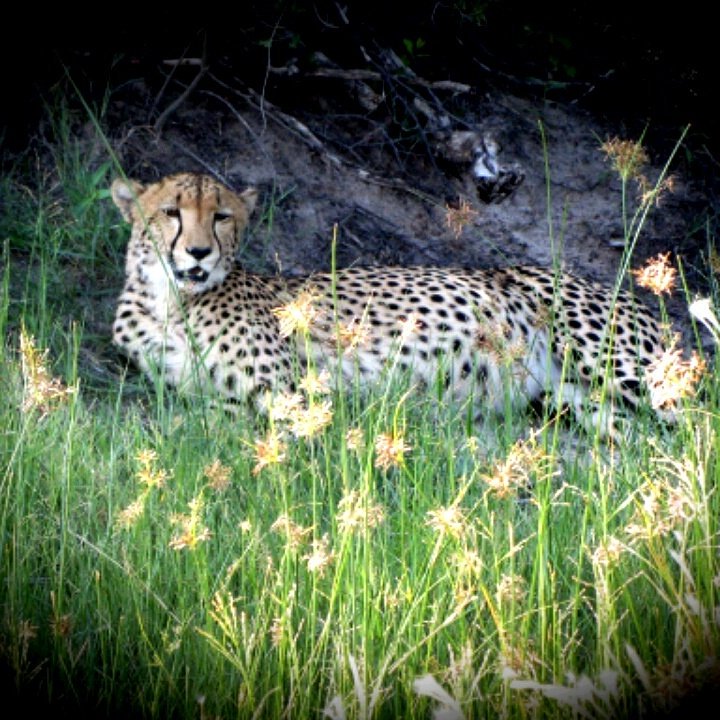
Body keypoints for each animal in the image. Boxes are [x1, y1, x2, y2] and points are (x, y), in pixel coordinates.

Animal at [110, 172, 672, 436]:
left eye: (221, 216)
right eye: (171, 212)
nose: (198, 251)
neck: (173, 302)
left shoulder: (291, 393)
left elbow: (209, 422)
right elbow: (190, 414)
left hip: (622, 369)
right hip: (583, 400)